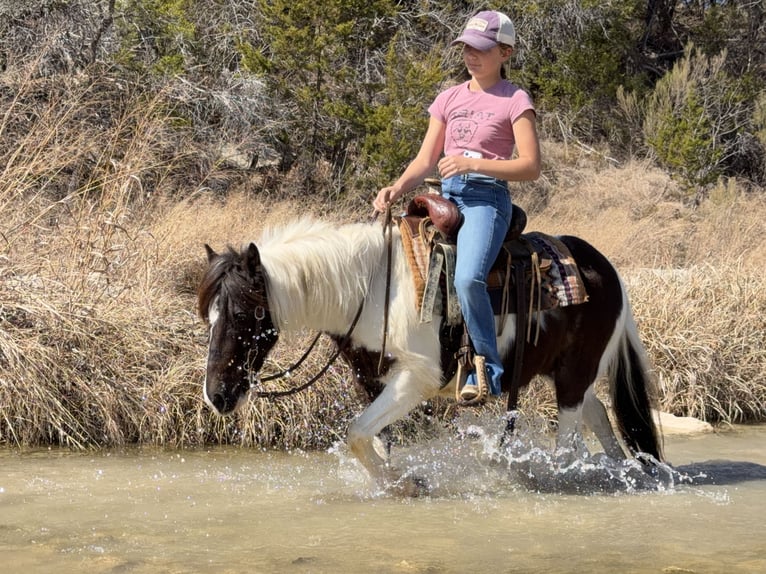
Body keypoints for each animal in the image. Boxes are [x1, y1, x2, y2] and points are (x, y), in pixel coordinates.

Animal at [197, 215, 663, 494]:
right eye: (209, 315)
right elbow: (373, 440)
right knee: (597, 412)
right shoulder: (371, 381)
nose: (217, 396)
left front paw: (408, 484)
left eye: (244, 314)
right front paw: (398, 483)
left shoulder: (416, 379)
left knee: (568, 441)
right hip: (567, 373)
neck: (372, 291)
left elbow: (356, 433)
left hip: (572, 375)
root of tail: (606, 269)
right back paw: (625, 471)